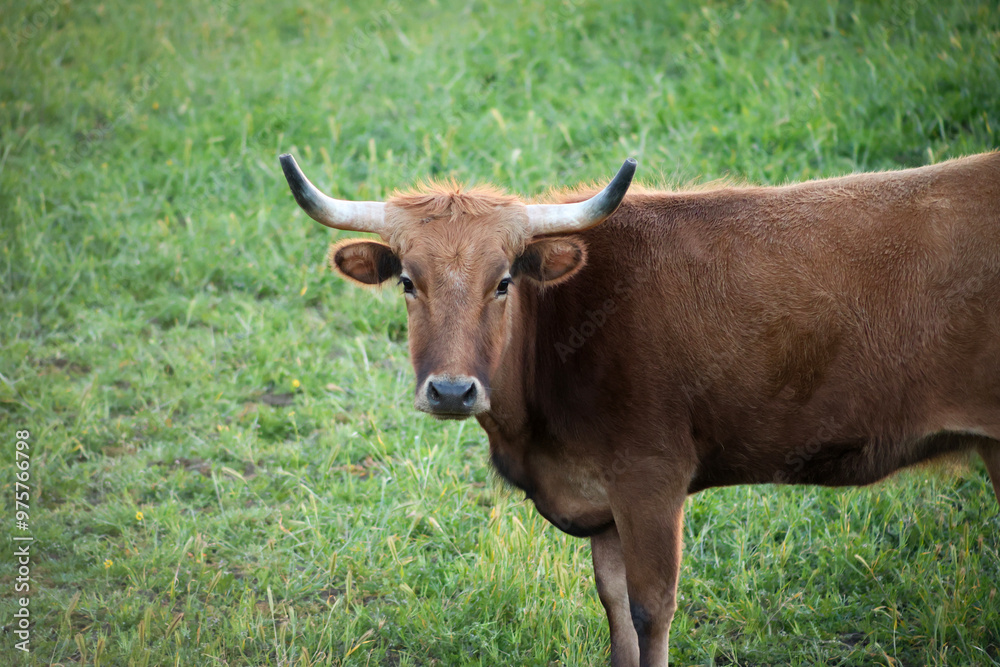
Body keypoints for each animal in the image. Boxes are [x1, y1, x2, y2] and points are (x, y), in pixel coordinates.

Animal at [279, 151, 1000, 667]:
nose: (452, 391)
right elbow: (616, 609)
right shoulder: (603, 504)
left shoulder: (651, 480)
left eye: (504, 281)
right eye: (407, 281)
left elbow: (651, 609)